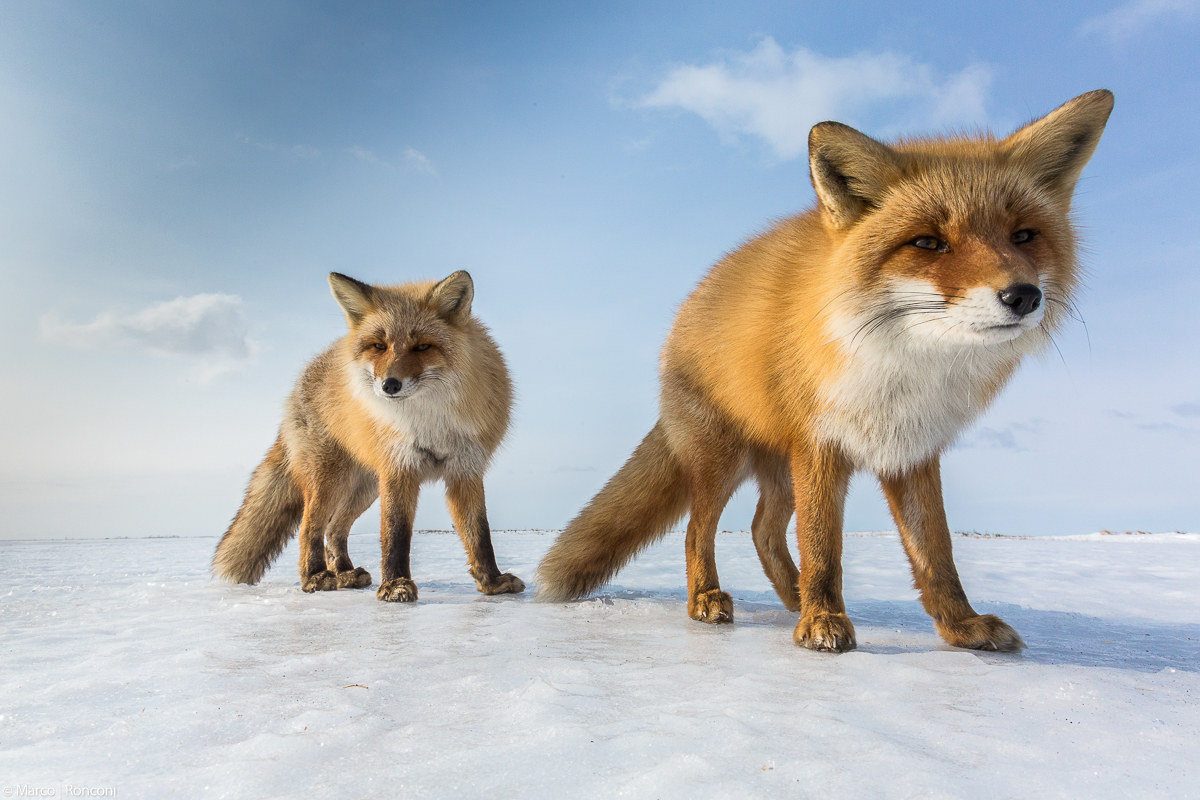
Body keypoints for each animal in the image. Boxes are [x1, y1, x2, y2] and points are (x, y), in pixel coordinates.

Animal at [212, 270, 525, 601]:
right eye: (378, 345)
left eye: (422, 347)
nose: (390, 385)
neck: (430, 423)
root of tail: (302, 378)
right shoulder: (398, 468)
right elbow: (396, 533)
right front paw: (395, 584)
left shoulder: (465, 470)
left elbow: (479, 533)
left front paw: (492, 581)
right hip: (329, 480)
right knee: (310, 527)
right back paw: (315, 576)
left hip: (364, 488)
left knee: (335, 528)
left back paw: (344, 573)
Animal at [537, 90, 1114, 652]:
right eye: (929, 242)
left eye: (1024, 236)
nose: (1024, 296)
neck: (902, 370)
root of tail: (684, 314)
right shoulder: (819, 443)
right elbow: (824, 546)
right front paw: (823, 622)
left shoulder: (913, 450)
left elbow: (937, 553)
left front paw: (961, 626)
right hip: (725, 459)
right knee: (698, 530)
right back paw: (708, 598)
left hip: (779, 468)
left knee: (762, 529)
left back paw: (791, 596)